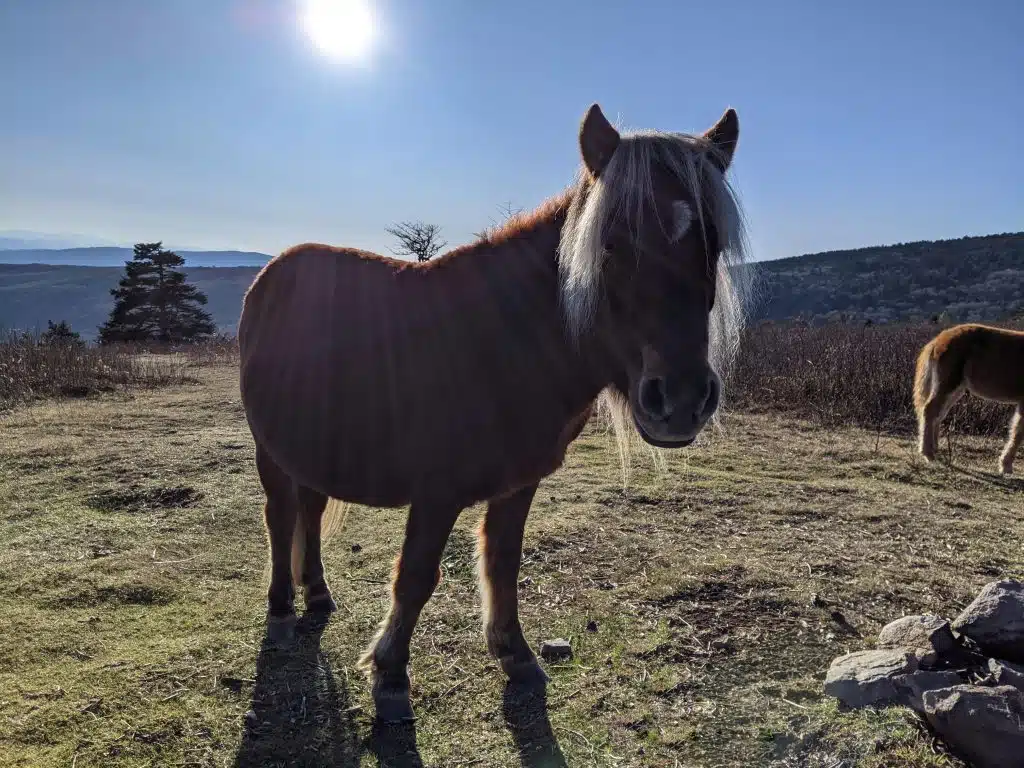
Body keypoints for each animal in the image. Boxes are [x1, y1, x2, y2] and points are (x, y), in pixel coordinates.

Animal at [237, 102, 752, 722]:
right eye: (611, 244)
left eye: (713, 244)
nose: (679, 400)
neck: (502, 338)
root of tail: (274, 271)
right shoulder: (436, 492)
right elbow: (416, 576)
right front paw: (390, 675)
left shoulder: (519, 482)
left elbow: (503, 562)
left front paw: (515, 654)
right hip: (271, 451)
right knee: (280, 517)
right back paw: (281, 611)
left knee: (309, 513)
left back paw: (316, 594)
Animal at [914, 323, 1024, 474]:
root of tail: (938, 340)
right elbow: (1018, 433)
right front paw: (1005, 466)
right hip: (948, 384)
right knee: (930, 410)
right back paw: (928, 454)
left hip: (956, 390)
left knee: (938, 414)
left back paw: (935, 450)